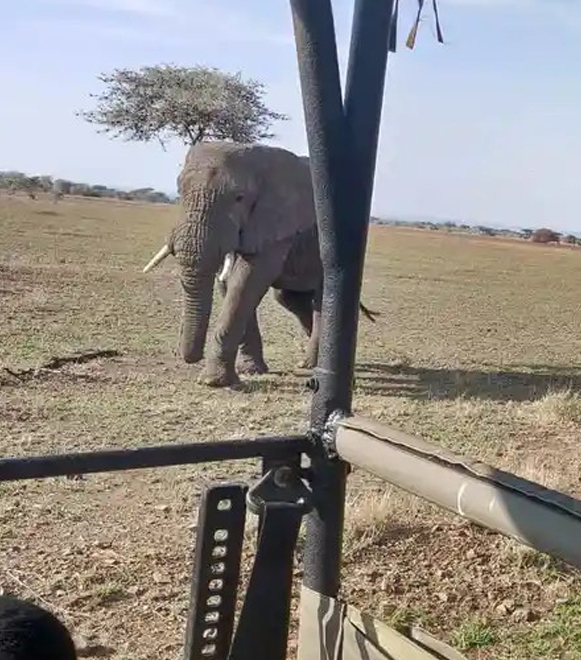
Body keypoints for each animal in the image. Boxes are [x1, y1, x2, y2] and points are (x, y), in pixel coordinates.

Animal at [143, 141, 377, 387]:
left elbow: (247, 279)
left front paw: (213, 381)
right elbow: (228, 283)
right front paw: (250, 370)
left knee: (322, 300)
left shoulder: (276, 222)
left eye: (239, 198)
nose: (189, 357)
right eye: (180, 192)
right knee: (289, 298)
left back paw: (312, 365)